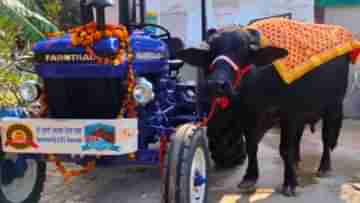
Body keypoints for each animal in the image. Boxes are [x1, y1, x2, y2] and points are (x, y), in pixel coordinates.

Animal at [177, 29, 348, 196]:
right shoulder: (249, 117)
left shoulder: (289, 115)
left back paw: (324, 167)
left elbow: (285, 149)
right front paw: (249, 177)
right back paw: (296, 162)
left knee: (326, 138)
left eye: (242, 53)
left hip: (334, 105)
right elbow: (252, 146)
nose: (216, 84)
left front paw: (290, 183)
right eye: (212, 53)